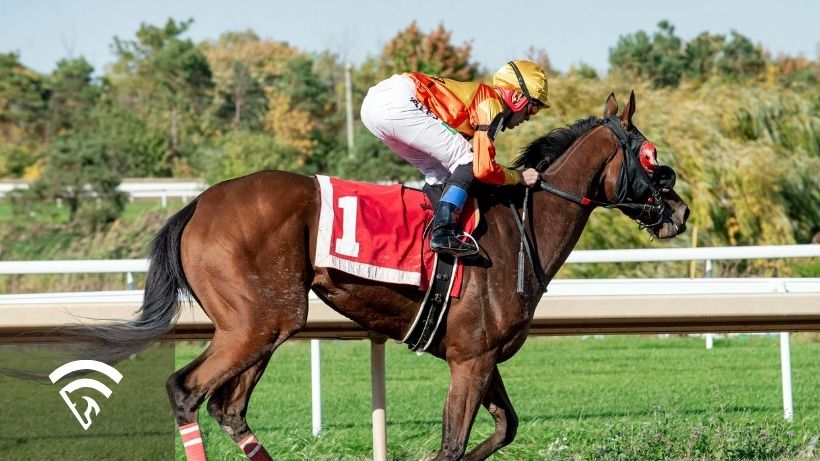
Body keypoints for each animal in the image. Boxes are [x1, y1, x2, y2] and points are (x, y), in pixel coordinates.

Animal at [49, 91, 689, 460]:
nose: (679, 212)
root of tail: (197, 205)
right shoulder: (470, 359)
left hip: (264, 325)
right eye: (652, 156)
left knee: (229, 408)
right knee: (187, 391)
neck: (518, 227)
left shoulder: (482, 355)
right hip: (258, 322)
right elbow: (453, 446)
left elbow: (504, 428)